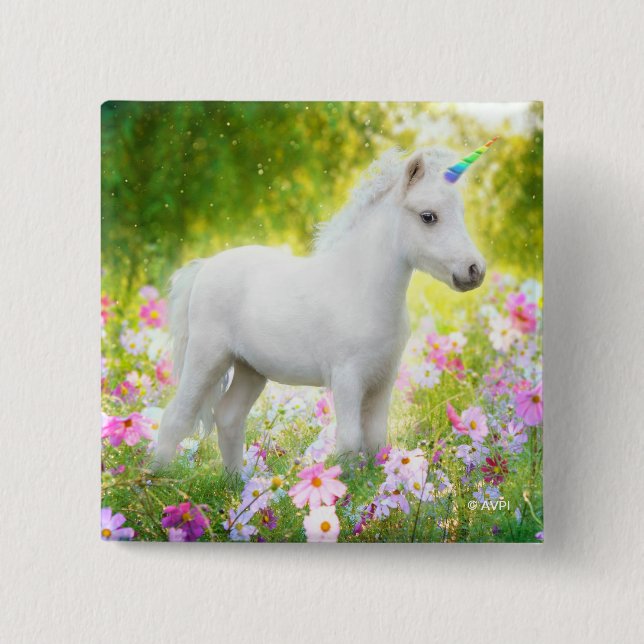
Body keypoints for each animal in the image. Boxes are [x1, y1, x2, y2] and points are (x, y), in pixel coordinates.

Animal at [154, 142, 494, 472]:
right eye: (428, 216)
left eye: (460, 212)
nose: (475, 270)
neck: (361, 290)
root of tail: (204, 267)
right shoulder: (347, 377)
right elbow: (349, 441)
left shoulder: (383, 379)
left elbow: (376, 441)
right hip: (207, 358)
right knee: (176, 418)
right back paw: (157, 478)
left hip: (250, 369)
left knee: (228, 417)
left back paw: (238, 485)